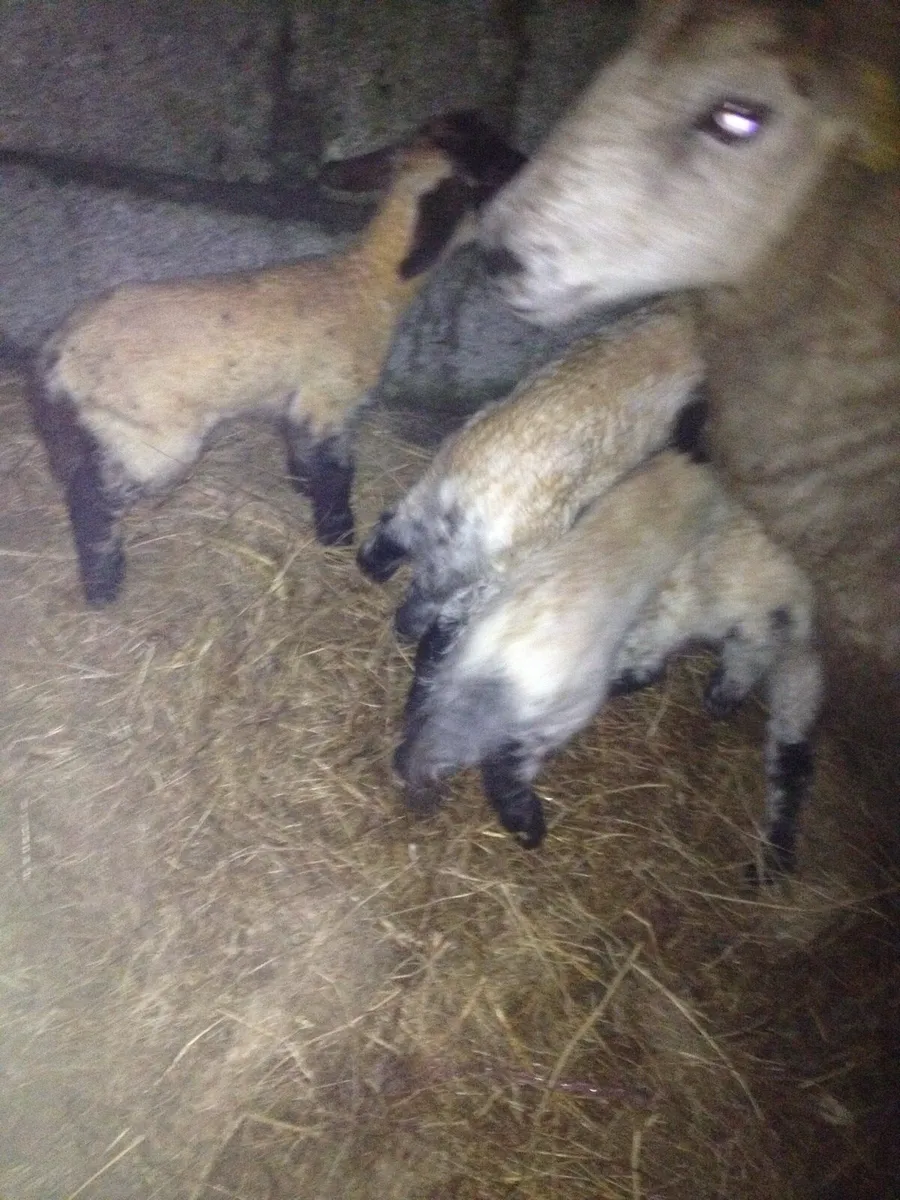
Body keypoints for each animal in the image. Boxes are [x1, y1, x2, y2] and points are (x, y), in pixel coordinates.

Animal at [27, 138, 477, 606]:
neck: (368, 279)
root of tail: (57, 353)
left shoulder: (298, 399)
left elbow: (303, 453)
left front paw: (303, 487)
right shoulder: (331, 399)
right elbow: (336, 473)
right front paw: (337, 537)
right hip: (151, 439)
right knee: (92, 499)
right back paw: (104, 585)